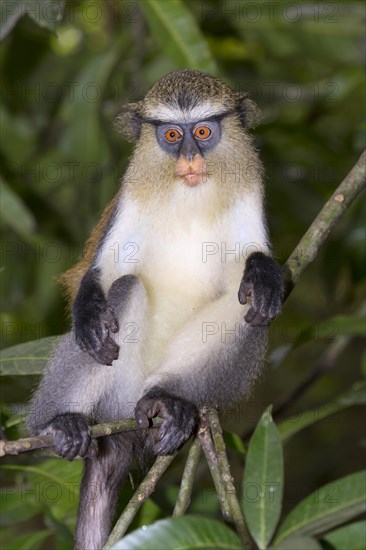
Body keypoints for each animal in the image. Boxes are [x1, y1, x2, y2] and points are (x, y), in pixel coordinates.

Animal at [27, 70, 284, 550]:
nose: (189, 159)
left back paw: (169, 401)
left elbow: (249, 272)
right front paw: (88, 312)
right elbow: (105, 273)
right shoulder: (130, 200)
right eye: (171, 135)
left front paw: (263, 273)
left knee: (248, 310)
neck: (189, 196)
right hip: (116, 392)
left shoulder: (249, 195)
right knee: (124, 290)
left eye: (202, 132)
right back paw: (58, 424)